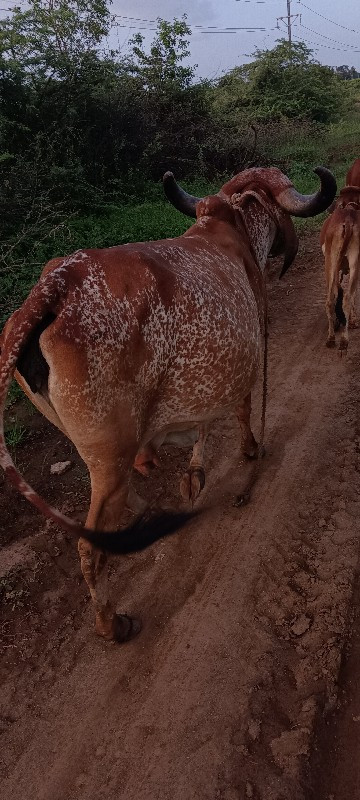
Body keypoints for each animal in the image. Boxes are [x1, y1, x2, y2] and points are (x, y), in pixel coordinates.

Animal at [1, 166, 336, 640]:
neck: (228, 230)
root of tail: (52, 289)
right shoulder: (247, 354)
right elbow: (240, 410)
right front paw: (248, 450)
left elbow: (201, 425)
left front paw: (194, 472)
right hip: (110, 454)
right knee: (91, 546)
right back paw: (112, 623)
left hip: (95, 451)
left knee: (119, 503)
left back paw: (150, 510)